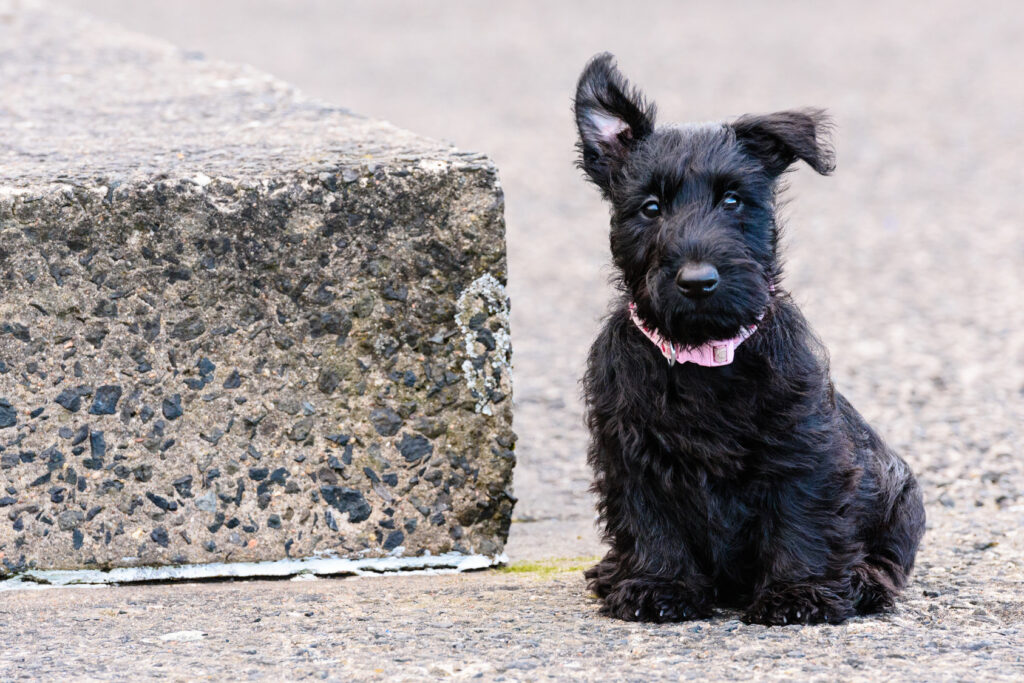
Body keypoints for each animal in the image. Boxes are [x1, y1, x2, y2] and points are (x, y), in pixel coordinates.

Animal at [577, 53, 929, 626]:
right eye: (650, 207)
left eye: (733, 200)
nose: (698, 281)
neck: (703, 356)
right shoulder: (630, 452)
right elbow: (651, 523)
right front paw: (657, 585)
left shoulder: (803, 447)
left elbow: (801, 520)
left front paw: (798, 594)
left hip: (900, 493)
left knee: (887, 557)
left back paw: (863, 581)